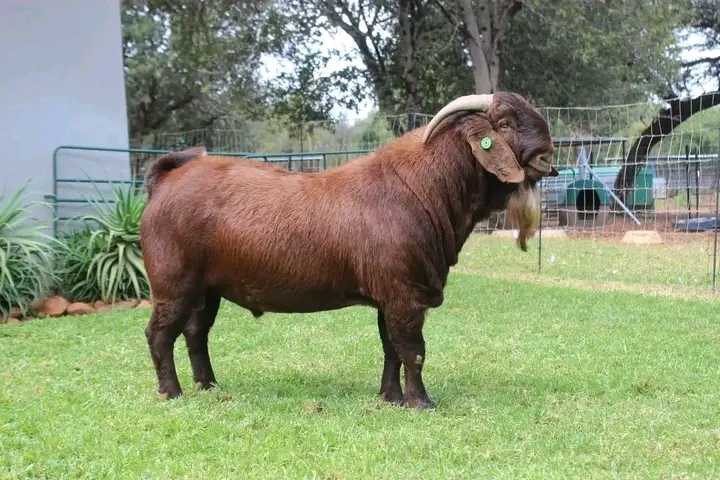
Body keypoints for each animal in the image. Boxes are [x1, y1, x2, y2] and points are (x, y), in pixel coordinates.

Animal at [139, 92, 559, 409]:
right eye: (504, 124)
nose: (548, 157)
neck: (420, 187)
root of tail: (165, 180)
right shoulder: (404, 293)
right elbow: (413, 349)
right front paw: (421, 402)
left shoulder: (389, 296)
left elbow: (391, 348)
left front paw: (391, 397)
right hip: (173, 284)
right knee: (159, 334)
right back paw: (171, 393)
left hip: (206, 289)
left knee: (196, 333)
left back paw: (208, 386)